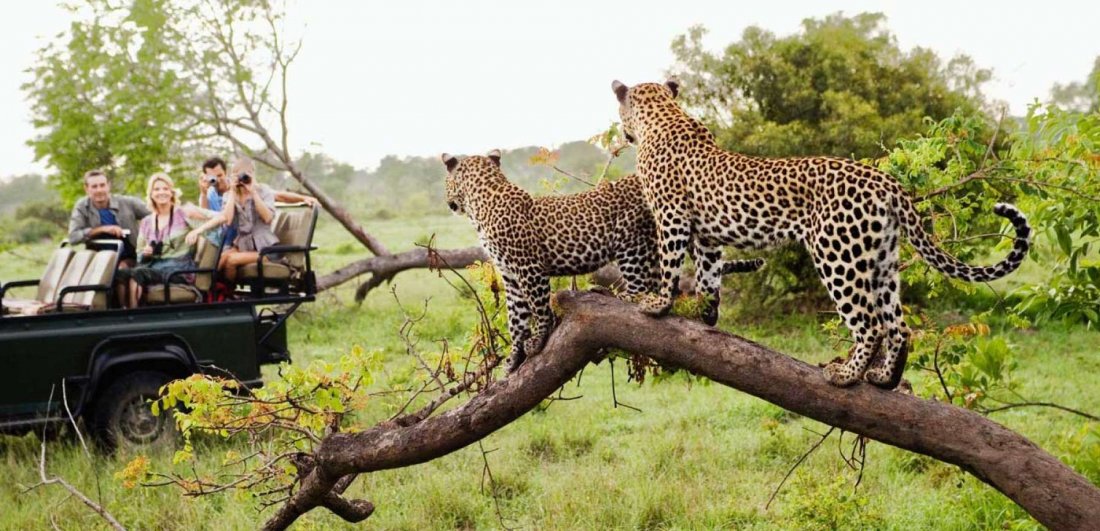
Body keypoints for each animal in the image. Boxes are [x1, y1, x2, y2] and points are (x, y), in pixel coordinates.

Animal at [440, 150, 765, 373]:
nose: (448, 203)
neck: (481, 204)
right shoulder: (510, 275)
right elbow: (516, 319)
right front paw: (513, 358)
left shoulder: (529, 269)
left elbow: (539, 309)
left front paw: (538, 340)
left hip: (632, 244)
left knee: (642, 289)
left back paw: (611, 294)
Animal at [611, 79, 1029, 389]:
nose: (623, 133)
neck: (664, 116)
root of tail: (887, 182)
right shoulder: (709, 236)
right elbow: (709, 276)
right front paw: (705, 314)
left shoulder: (671, 217)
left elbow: (670, 264)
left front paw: (657, 304)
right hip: (881, 260)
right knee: (898, 325)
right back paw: (883, 378)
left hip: (837, 254)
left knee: (871, 323)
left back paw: (846, 375)